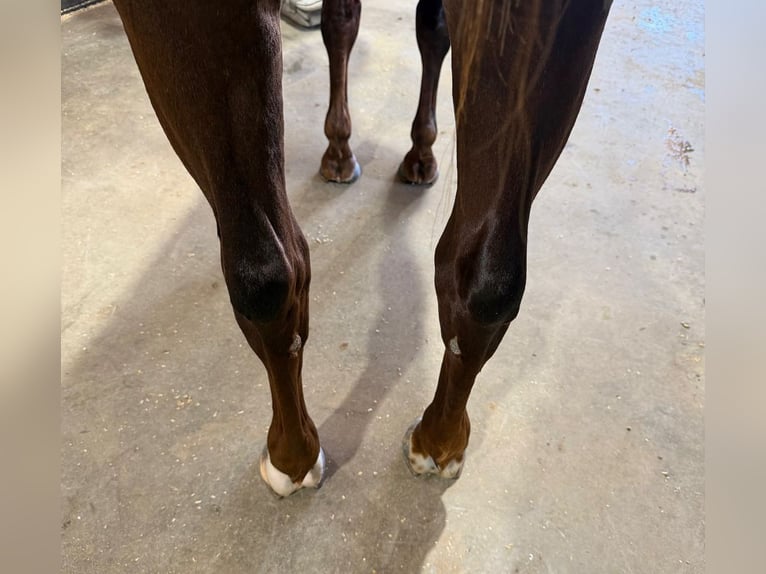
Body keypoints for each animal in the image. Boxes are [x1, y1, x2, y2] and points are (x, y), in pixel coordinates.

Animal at [110, 0, 612, 496]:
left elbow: (384, 26)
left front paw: (379, 152)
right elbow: (361, 23)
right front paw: (354, 151)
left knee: (268, 274)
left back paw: (293, 457)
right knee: (487, 281)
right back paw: (437, 443)